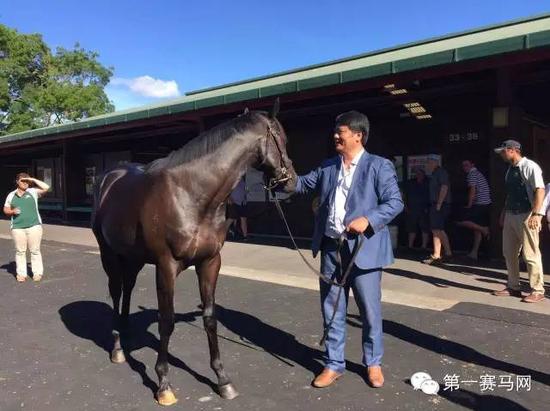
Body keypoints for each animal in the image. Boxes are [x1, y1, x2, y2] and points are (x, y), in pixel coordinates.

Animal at [91, 101, 298, 408]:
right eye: (281, 138)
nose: (292, 181)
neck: (191, 194)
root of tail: (108, 178)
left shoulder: (210, 262)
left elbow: (210, 317)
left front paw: (222, 380)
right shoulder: (166, 265)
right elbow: (166, 321)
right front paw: (163, 384)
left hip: (134, 257)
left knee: (127, 288)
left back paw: (126, 331)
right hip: (110, 254)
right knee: (116, 291)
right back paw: (117, 347)